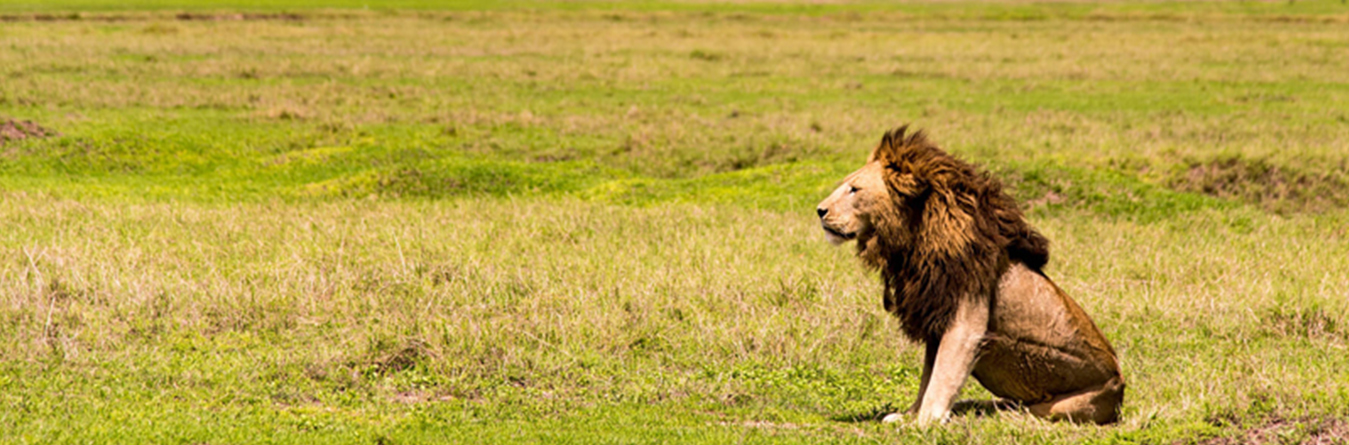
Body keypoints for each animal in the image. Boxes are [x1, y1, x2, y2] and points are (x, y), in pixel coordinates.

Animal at [814, 126, 1122, 426]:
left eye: (854, 189)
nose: (819, 210)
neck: (914, 239)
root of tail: (1120, 390)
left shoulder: (964, 322)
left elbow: (942, 377)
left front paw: (922, 423)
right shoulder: (934, 320)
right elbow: (928, 377)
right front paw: (911, 415)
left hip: (1060, 407)